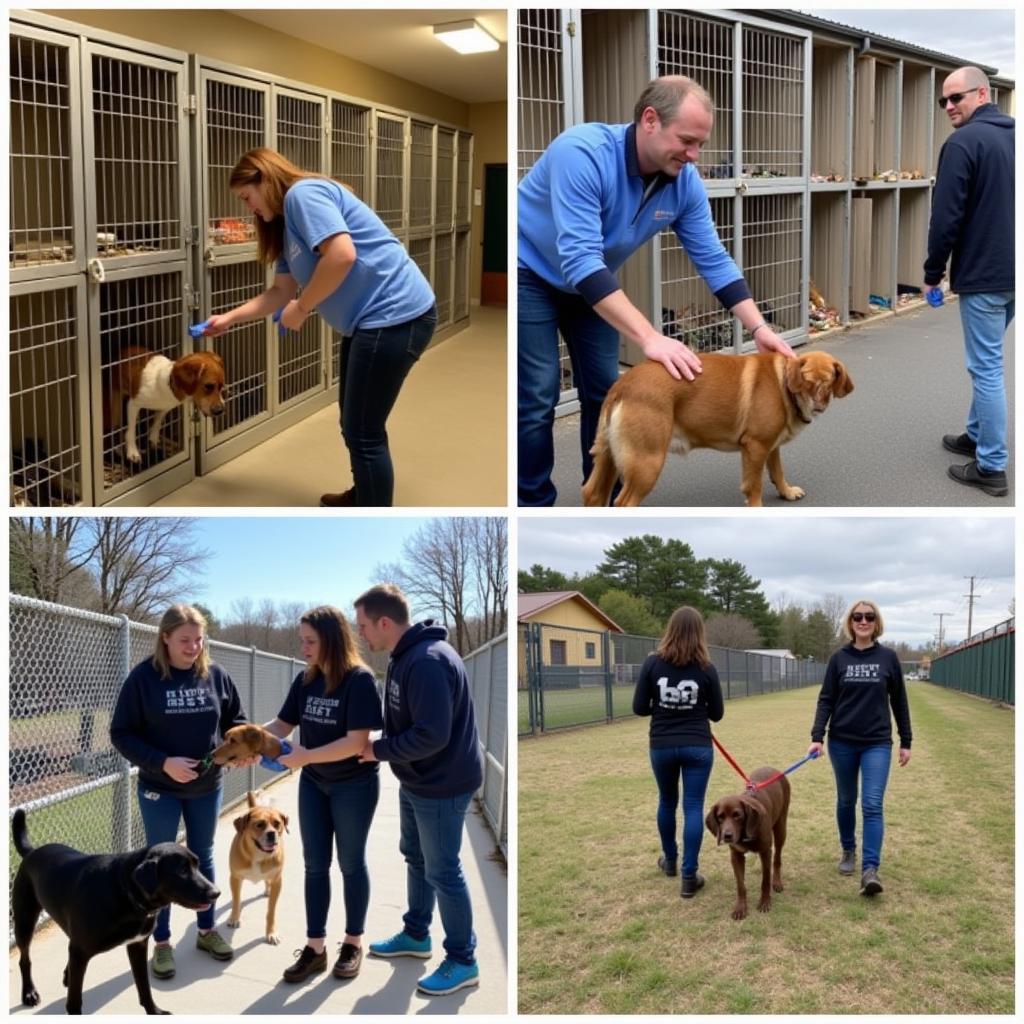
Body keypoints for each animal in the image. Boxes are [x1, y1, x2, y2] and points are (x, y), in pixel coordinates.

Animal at [11, 806, 220, 1015]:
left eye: (197, 865)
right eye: (182, 871)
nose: (216, 893)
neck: (125, 891)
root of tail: (32, 852)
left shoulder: (137, 945)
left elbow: (144, 987)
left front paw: (154, 1011)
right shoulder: (80, 951)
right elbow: (75, 1000)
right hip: (24, 922)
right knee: (24, 960)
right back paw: (29, 993)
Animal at [225, 790, 286, 942]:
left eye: (277, 823)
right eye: (259, 824)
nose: (272, 834)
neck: (259, 855)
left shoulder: (277, 880)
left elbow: (271, 911)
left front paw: (271, 932)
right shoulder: (235, 878)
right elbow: (236, 901)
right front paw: (234, 918)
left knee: (267, 881)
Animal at [581, 352, 851, 507]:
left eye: (828, 382)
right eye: (806, 381)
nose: (817, 406)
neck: (783, 382)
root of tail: (622, 385)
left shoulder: (770, 445)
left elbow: (777, 470)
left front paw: (786, 491)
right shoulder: (755, 447)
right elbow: (754, 486)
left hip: (609, 458)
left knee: (592, 494)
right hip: (647, 462)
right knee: (624, 502)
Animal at [704, 770, 790, 925]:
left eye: (737, 815)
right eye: (720, 817)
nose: (727, 836)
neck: (746, 833)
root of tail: (774, 770)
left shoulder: (765, 852)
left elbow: (765, 880)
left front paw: (765, 902)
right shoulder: (736, 856)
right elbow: (740, 885)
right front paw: (740, 908)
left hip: (781, 828)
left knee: (777, 858)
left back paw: (777, 882)